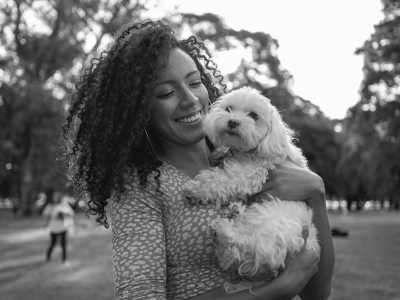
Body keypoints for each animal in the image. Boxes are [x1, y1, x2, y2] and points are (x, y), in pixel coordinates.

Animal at [183, 86, 320, 288]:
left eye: (254, 116)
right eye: (229, 109)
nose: (232, 122)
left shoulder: (249, 172)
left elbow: (222, 179)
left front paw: (195, 189)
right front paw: (219, 154)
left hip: (269, 225)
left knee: (241, 246)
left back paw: (224, 229)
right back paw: (234, 212)